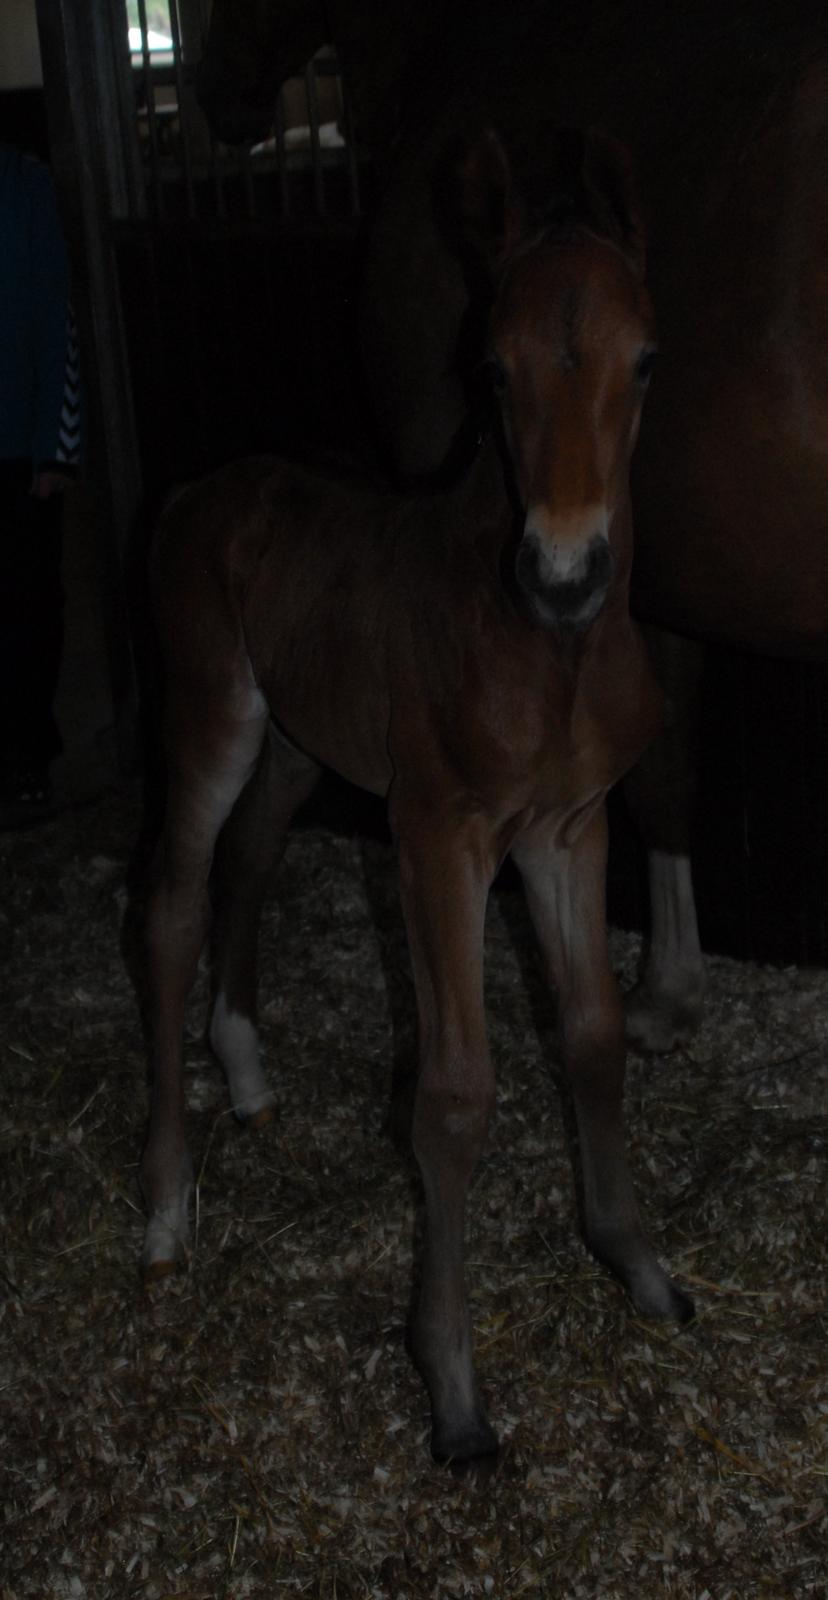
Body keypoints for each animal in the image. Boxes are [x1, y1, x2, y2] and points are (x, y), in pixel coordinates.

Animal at [143, 131, 693, 1465]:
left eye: (647, 358)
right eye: (490, 368)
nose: (564, 572)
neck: (546, 653)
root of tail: (196, 492)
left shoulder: (571, 830)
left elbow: (592, 1036)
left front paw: (635, 1262)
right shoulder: (438, 837)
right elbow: (452, 1094)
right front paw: (451, 1386)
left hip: (304, 741)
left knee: (252, 856)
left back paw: (248, 1075)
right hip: (214, 717)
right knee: (172, 906)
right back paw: (167, 1210)